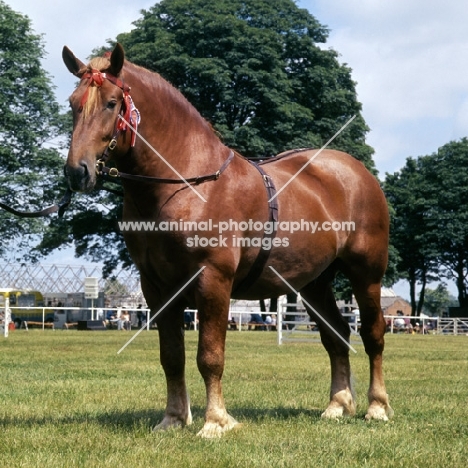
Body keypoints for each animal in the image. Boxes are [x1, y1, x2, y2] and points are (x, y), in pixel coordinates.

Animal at [62, 44, 392, 438]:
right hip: (313, 284)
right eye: (73, 103)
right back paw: (337, 405)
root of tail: (356, 172)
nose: (76, 171)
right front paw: (173, 418)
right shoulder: (156, 287)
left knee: (372, 334)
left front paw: (216, 421)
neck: (188, 183)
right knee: (337, 335)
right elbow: (172, 356)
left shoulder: (213, 280)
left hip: (366, 274)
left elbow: (210, 356)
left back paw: (377, 406)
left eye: (111, 103)